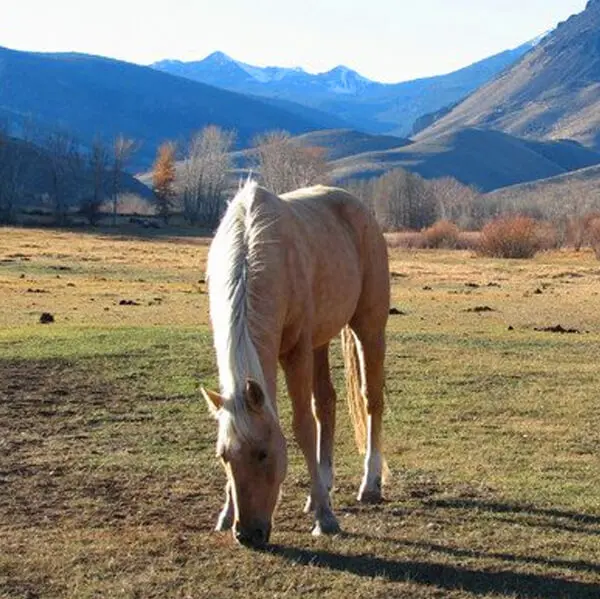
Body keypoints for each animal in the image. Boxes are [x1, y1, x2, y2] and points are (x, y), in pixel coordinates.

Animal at [202, 179, 390, 548]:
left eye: (263, 453)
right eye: (223, 457)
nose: (247, 534)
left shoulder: (296, 351)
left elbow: (303, 427)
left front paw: (326, 518)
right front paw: (226, 513)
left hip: (368, 328)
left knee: (371, 400)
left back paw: (369, 485)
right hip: (320, 340)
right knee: (327, 402)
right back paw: (323, 487)